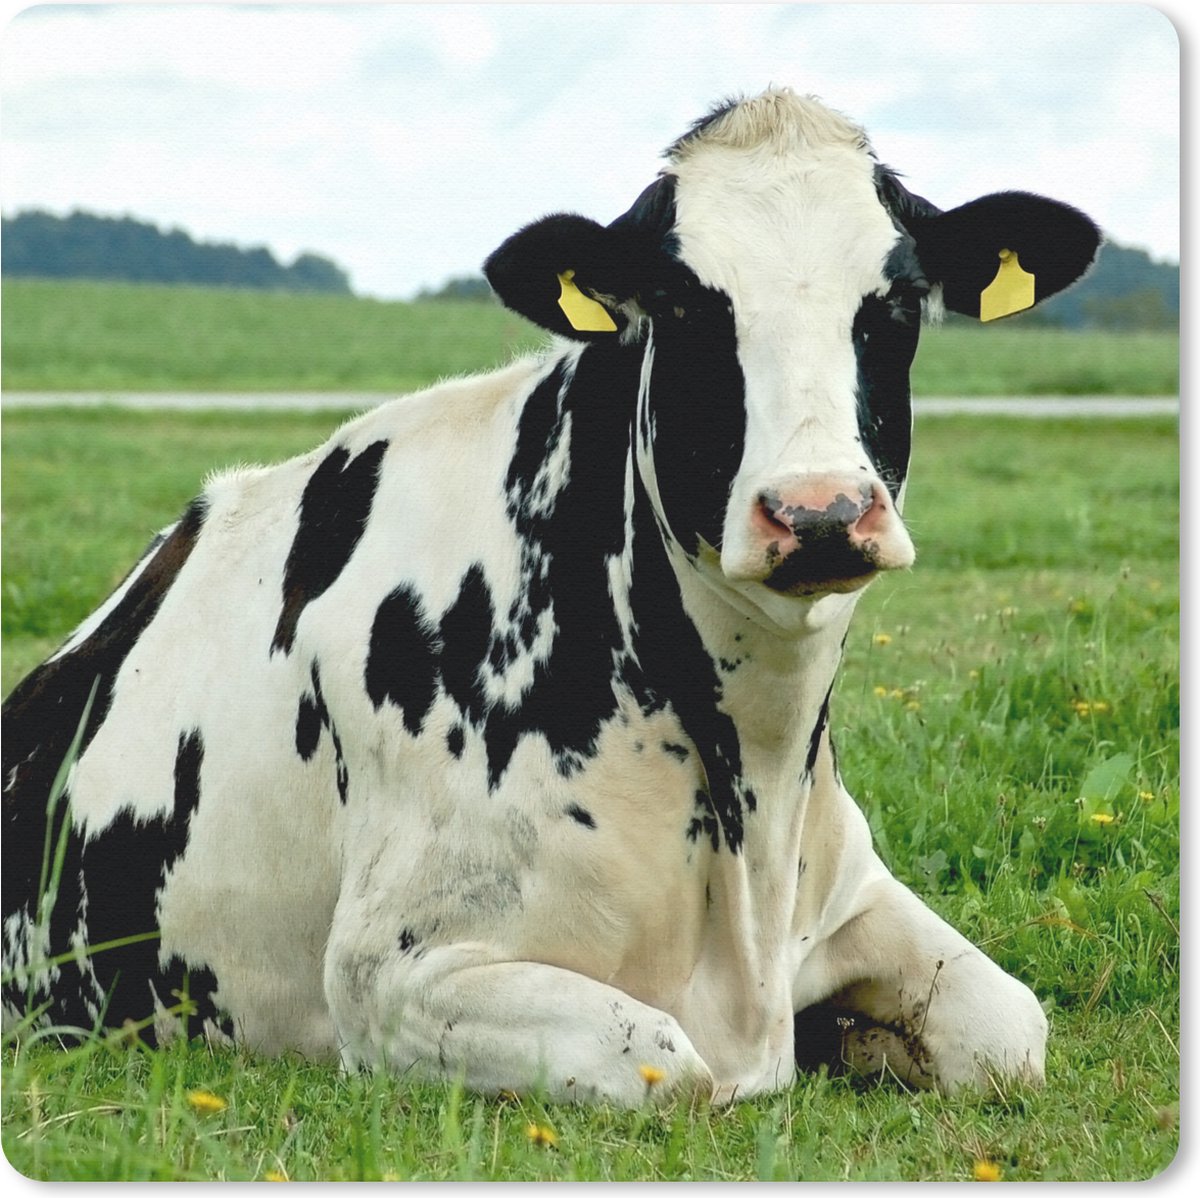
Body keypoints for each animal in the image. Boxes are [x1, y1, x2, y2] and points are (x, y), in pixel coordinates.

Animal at [2, 88, 1100, 1106]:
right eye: (684, 303)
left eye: (901, 302)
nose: (820, 510)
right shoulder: (392, 975)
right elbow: (670, 1063)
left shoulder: (849, 897)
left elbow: (1012, 1029)